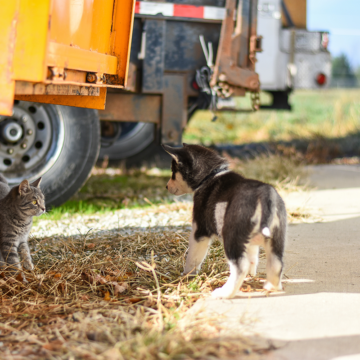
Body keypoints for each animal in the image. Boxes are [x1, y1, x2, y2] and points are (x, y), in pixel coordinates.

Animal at [163, 143, 286, 298]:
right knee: (276, 264)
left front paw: (187, 275)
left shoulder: (199, 230)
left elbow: (193, 257)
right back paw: (271, 286)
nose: (166, 186)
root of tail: (264, 195)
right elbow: (253, 257)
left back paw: (225, 292)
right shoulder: (250, 243)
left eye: (173, 172)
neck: (210, 175)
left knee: (240, 266)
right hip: (276, 239)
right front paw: (252, 275)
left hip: (231, 236)